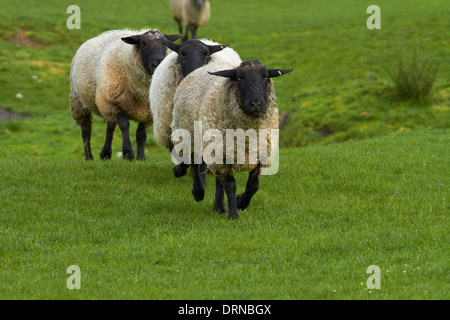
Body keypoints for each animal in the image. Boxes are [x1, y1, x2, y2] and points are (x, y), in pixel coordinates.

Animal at [70, 28, 181, 160]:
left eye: (164, 44)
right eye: (143, 44)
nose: (157, 64)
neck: (142, 91)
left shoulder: (147, 110)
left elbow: (141, 134)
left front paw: (141, 157)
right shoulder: (115, 102)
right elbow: (124, 125)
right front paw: (128, 153)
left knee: (110, 126)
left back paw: (105, 154)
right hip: (79, 102)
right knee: (86, 131)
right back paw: (89, 157)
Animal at [171, 59, 292, 220]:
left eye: (265, 76)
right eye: (239, 77)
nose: (256, 104)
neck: (247, 137)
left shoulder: (261, 154)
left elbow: (253, 186)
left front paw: (241, 202)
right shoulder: (220, 156)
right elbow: (230, 186)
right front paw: (234, 214)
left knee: (217, 180)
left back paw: (219, 207)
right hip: (191, 138)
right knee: (195, 166)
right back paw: (198, 193)